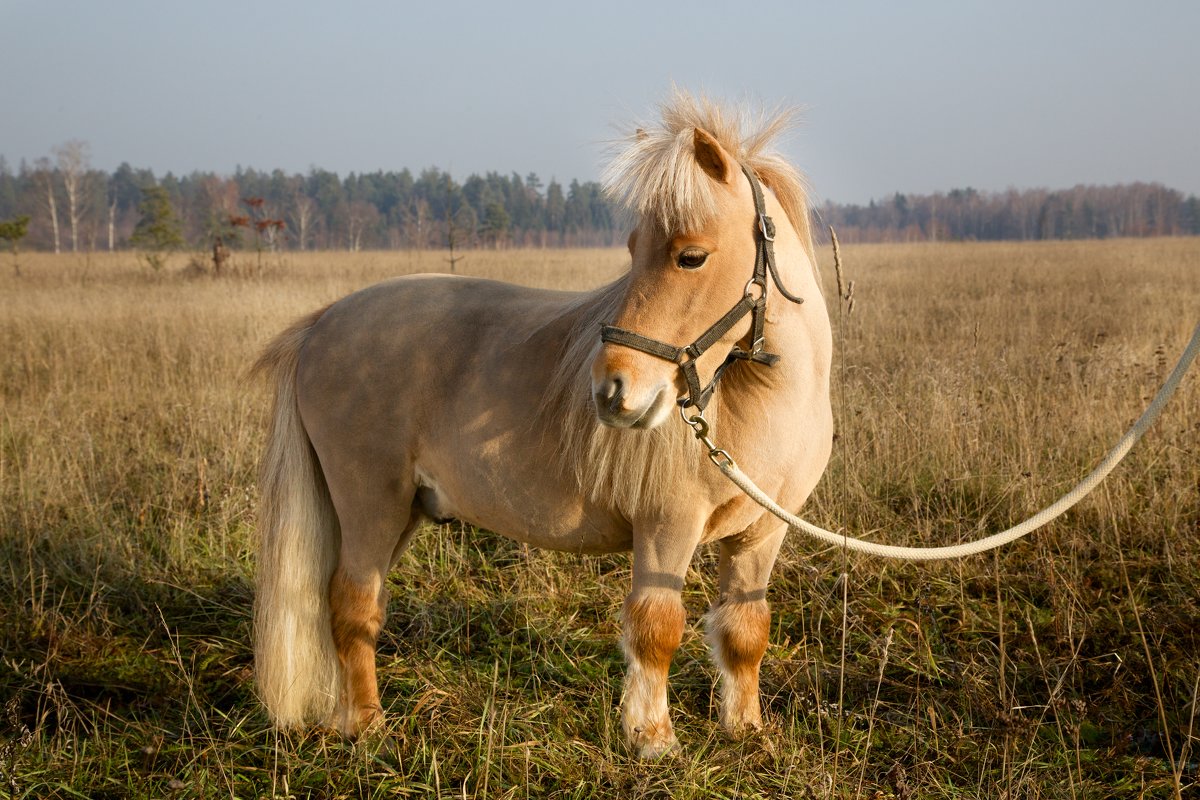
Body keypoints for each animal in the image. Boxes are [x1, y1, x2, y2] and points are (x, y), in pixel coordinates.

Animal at [253, 92, 835, 758]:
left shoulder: (761, 536)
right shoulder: (667, 527)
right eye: (634, 249)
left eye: (691, 256)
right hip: (370, 502)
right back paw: (367, 725)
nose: (612, 391)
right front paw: (653, 740)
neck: (757, 408)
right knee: (353, 606)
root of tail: (322, 325)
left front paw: (745, 729)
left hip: (404, 511)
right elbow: (657, 627)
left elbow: (745, 630)